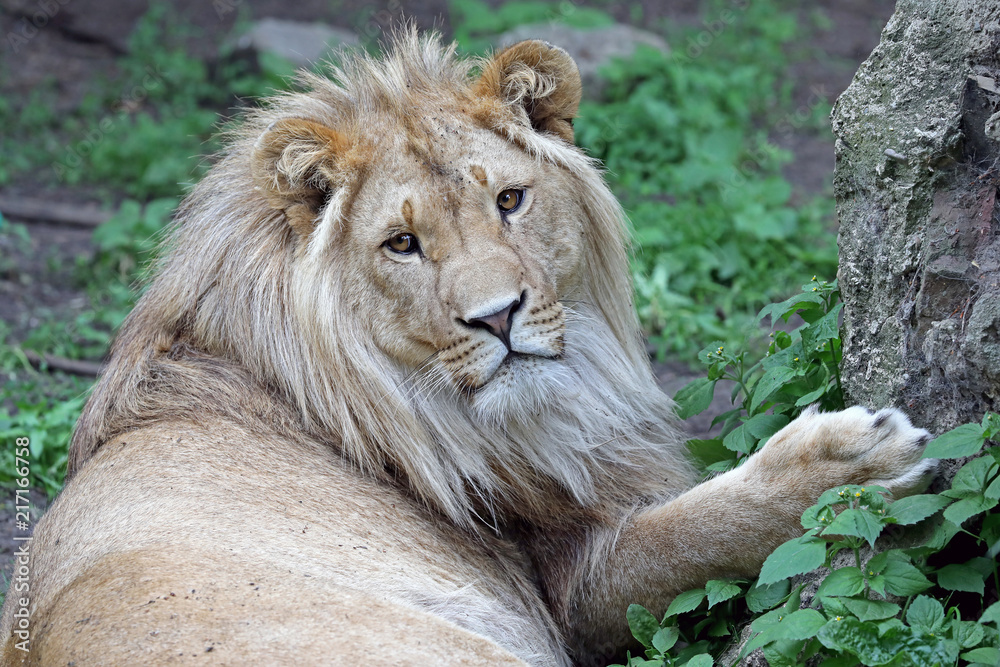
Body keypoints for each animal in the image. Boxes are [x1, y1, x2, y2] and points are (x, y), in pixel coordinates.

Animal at [1, 32, 936, 667]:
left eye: (511, 200)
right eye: (402, 244)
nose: (497, 317)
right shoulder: (572, 587)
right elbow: (691, 533)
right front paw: (845, 468)